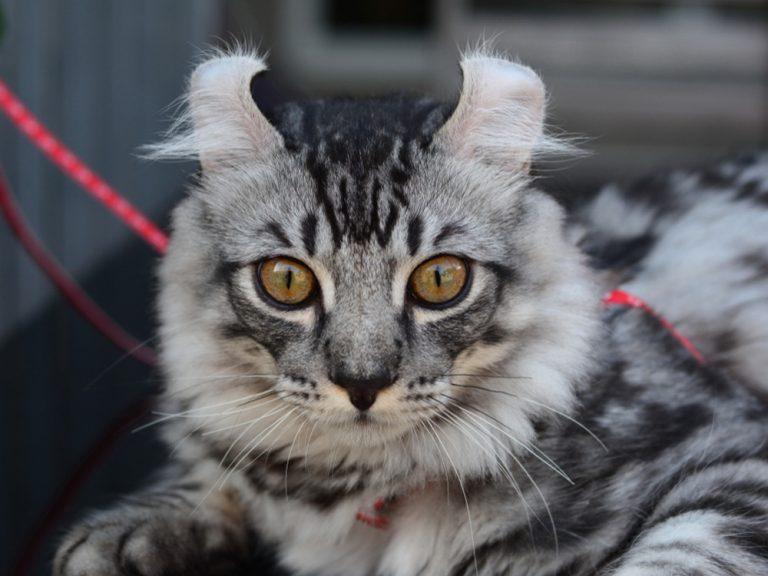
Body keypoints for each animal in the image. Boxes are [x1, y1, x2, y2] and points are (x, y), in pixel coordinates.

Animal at [54, 49, 768, 576]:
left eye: (440, 279)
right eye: (286, 280)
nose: (363, 383)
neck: (358, 488)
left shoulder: (734, 458)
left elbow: (674, 556)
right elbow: (198, 477)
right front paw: (113, 539)